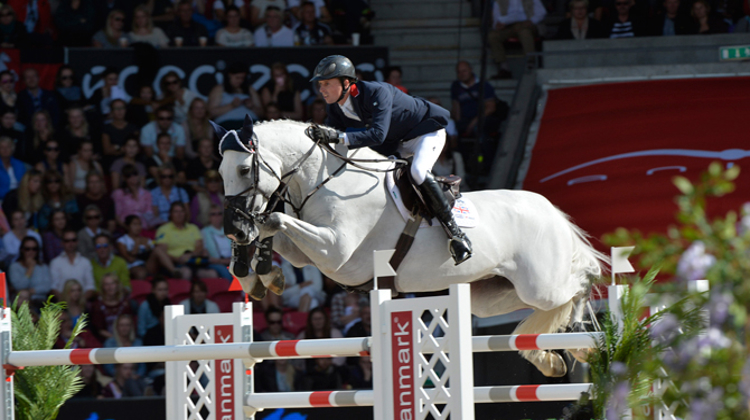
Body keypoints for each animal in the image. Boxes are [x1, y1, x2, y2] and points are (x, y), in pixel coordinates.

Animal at [216, 118, 604, 378]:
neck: (325, 180)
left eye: (244, 168)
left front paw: (258, 267)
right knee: (535, 311)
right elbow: (274, 229)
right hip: (491, 295)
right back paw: (552, 357)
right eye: (219, 173)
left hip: (542, 285)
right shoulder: (312, 252)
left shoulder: (338, 254)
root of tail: (550, 210)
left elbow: (275, 220)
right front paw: (260, 275)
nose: (232, 229)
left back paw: (582, 340)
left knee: (581, 282)